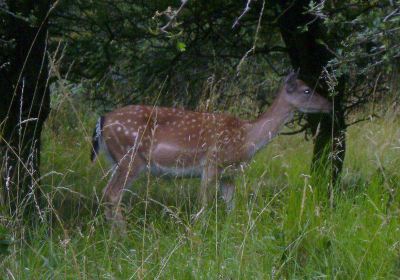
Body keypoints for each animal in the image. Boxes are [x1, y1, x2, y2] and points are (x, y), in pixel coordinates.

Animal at [90, 72, 332, 225]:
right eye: (307, 90)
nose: (329, 105)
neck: (246, 137)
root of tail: (103, 120)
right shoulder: (212, 163)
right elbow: (203, 204)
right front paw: (200, 234)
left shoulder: (230, 174)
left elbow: (232, 207)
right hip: (130, 157)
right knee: (112, 194)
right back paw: (123, 236)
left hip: (116, 160)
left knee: (107, 194)